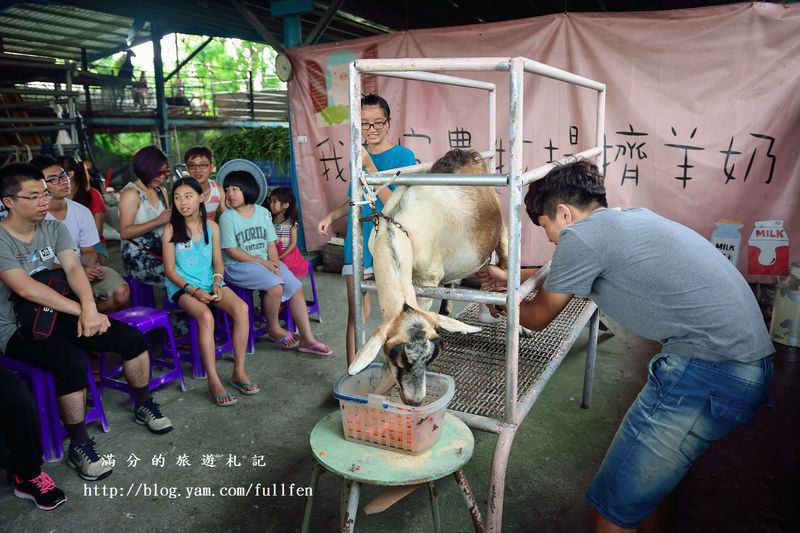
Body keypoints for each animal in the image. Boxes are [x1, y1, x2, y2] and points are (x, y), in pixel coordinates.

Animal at [348, 148, 506, 406]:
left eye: (431, 358)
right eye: (395, 357)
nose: (415, 401)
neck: (396, 230)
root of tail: (468, 154)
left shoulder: (427, 281)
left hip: (502, 235)